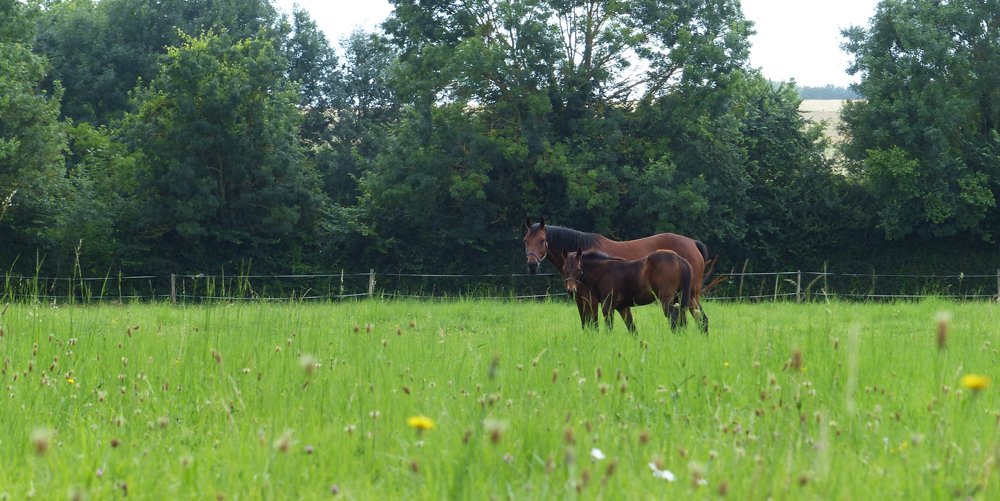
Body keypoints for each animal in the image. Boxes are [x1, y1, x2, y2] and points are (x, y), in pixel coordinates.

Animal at [561, 249, 694, 332]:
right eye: (564, 269)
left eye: (578, 269)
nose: (571, 290)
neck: (602, 272)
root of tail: (679, 259)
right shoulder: (623, 307)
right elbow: (632, 329)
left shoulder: (607, 306)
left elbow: (609, 328)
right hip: (678, 298)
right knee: (682, 319)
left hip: (666, 299)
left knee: (674, 319)